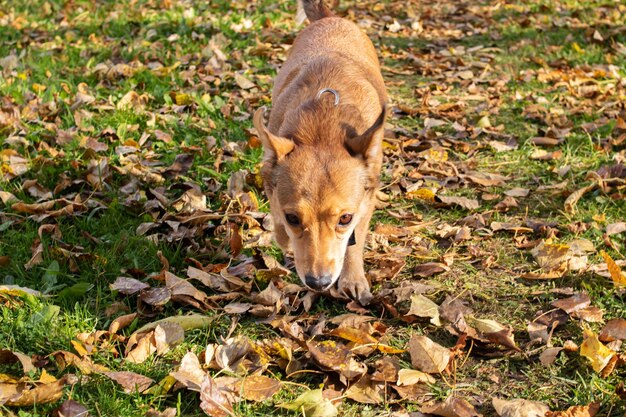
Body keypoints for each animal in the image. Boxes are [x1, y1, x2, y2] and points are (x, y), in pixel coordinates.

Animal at [254, 0, 386, 306]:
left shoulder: (366, 200)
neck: (322, 127)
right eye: (293, 218)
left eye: (345, 218)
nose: (318, 282)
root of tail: (330, 18)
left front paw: (353, 278)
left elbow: (355, 242)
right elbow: (279, 225)